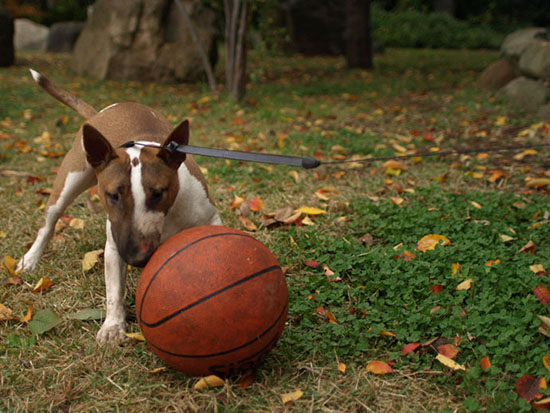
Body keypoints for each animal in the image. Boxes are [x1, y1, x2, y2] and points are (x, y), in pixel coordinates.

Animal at [19, 69, 222, 342]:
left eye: (158, 193)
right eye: (113, 195)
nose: (136, 258)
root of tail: (102, 112)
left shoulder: (209, 217)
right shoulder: (115, 243)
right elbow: (114, 290)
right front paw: (112, 327)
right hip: (69, 180)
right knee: (49, 223)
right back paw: (30, 260)